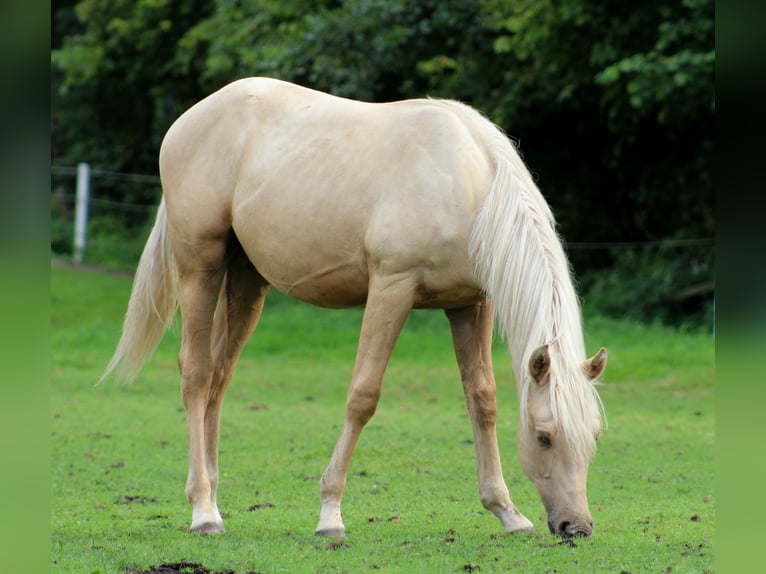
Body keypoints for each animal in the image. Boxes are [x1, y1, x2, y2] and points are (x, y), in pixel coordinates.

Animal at [102, 76, 608, 540]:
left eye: (594, 436)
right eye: (544, 436)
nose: (576, 526)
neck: (466, 183)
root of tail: (192, 118)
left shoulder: (470, 305)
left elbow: (481, 399)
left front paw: (507, 512)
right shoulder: (391, 289)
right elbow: (363, 395)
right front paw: (330, 516)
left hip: (246, 280)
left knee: (219, 379)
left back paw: (214, 497)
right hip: (200, 268)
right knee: (196, 374)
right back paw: (203, 510)